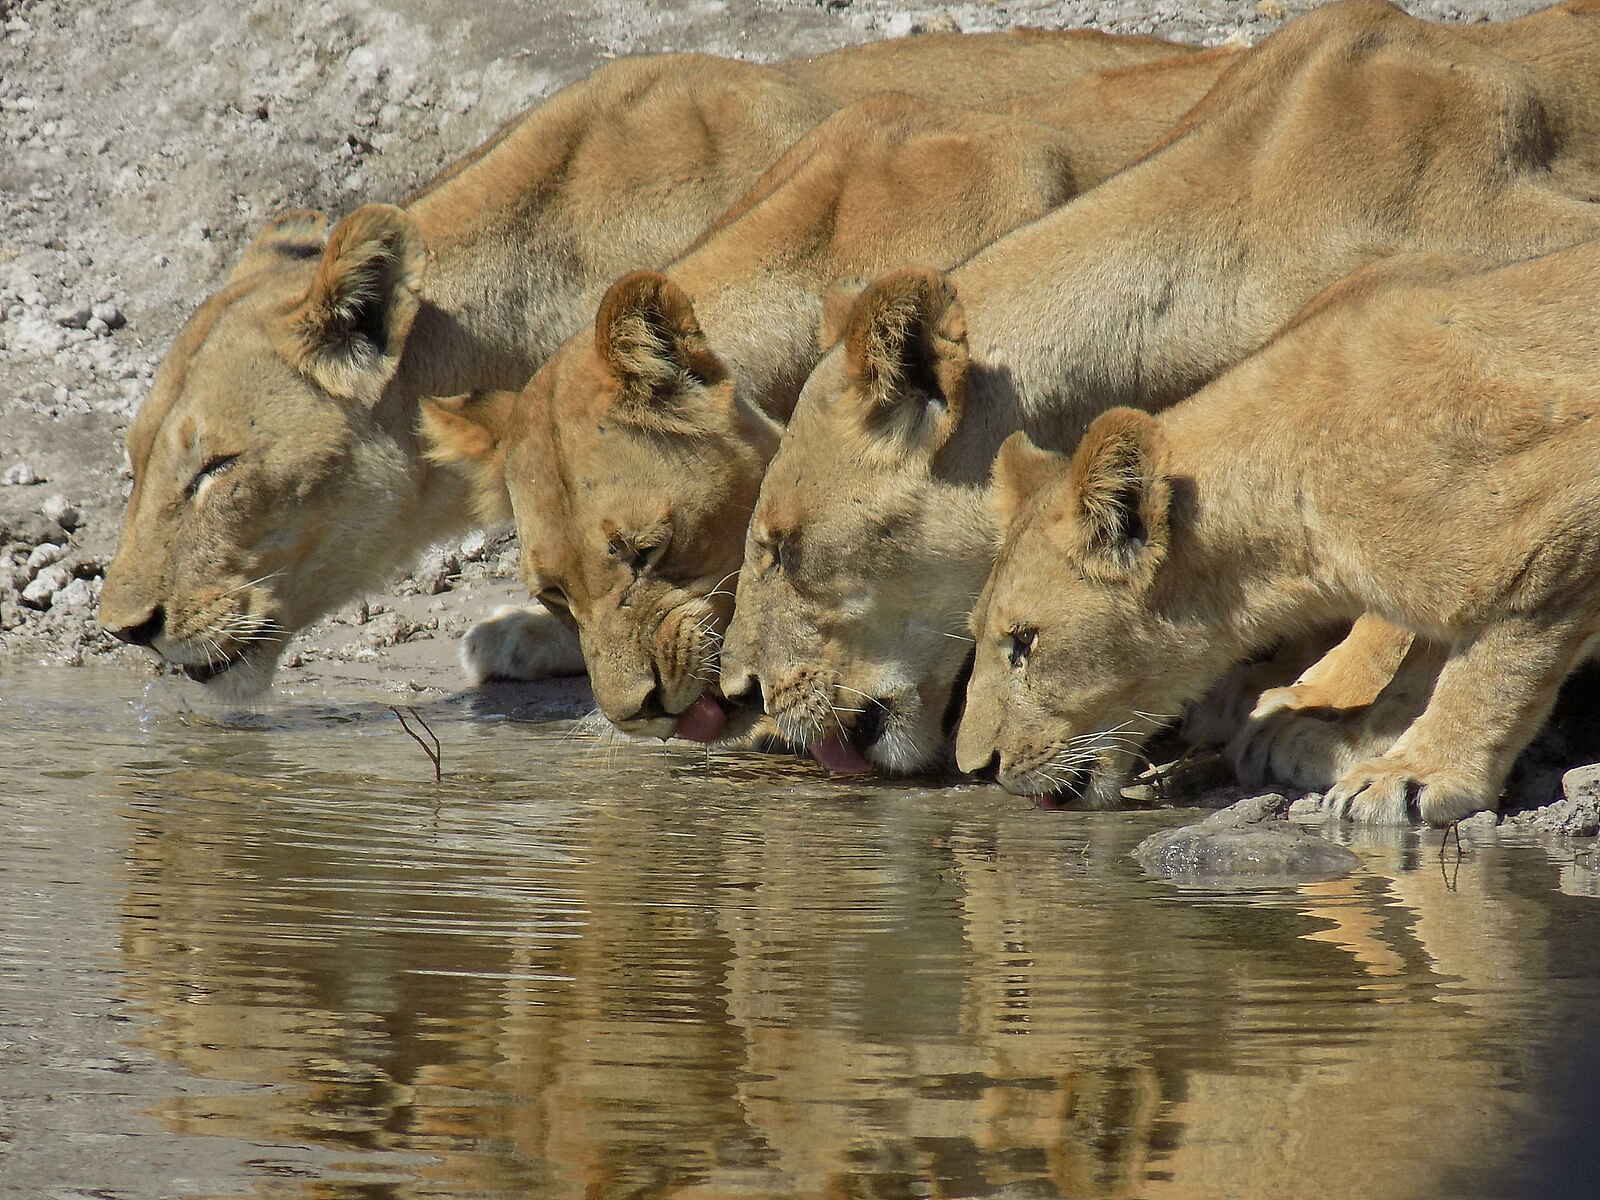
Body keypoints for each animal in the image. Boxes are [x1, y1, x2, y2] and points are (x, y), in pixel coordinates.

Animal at [953, 242, 1600, 825]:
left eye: (1024, 641)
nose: (976, 768)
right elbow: (1422, 659)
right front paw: (1353, 739)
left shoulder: (1557, 516)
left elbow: (1494, 666)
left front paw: (1417, 773)